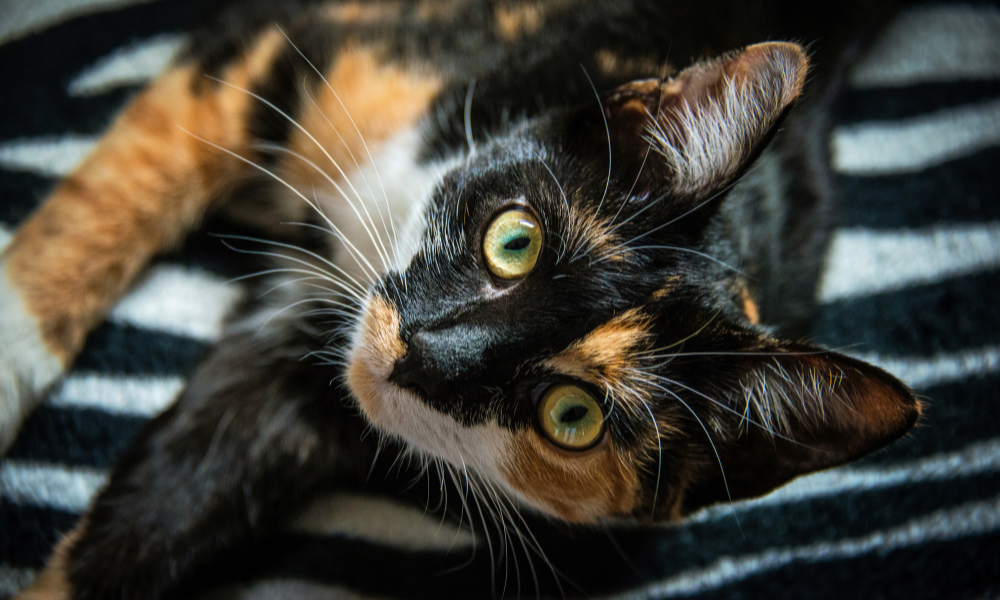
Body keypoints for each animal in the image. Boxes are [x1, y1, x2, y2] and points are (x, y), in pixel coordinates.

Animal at [1, 1, 920, 600]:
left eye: (572, 416)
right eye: (515, 241)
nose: (421, 352)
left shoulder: (295, 386)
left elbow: (170, 500)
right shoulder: (284, 54)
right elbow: (108, 205)